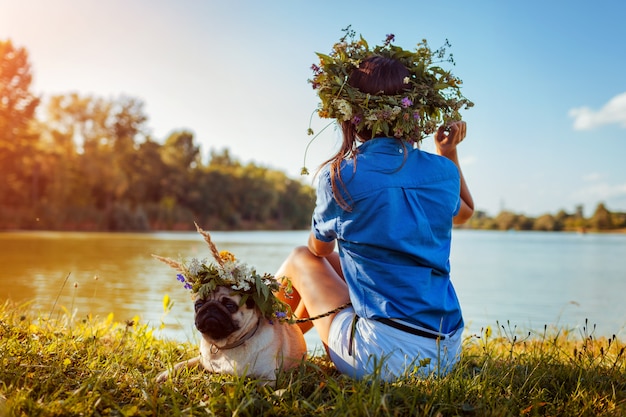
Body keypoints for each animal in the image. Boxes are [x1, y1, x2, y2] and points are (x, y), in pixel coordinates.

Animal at [156, 286, 308, 384]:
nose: (211, 307)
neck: (226, 346)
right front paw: (164, 374)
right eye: (198, 305)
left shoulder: (267, 377)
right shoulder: (201, 361)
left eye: (230, 305)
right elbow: (182, 364)